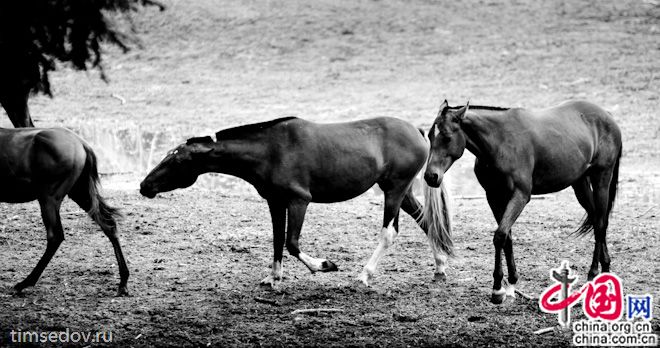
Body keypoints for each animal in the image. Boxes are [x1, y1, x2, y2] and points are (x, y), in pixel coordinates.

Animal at [0, 128, 129, 296]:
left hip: (49, 198)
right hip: (80, 192)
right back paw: (123, 282)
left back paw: (25, 282)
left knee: (55, 236)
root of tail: (82, 144)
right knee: (109, 224)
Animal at [140, 116, 454, 286]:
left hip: (394, 191)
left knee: (389, 233)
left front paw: (324, 265)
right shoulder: (275, 202)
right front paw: (274, 278)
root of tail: (418, 131)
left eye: (177, 160)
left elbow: (292, 243)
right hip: (401, 193)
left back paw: (365, 275)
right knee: (427, 221)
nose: (144, 186)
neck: (270, 150)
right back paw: (440, 267)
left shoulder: (298, 201)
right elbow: (278, 239)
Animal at [426, 99, 620, 304]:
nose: (431, 176)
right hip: (580, 184)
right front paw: (511, 284)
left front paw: (497, 289)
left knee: (600, 223)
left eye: (447, 137)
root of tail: (607, 116)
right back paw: (603, 270)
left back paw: (595, 273)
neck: (499, 143)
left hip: (601, 179)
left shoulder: (520, 196)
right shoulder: (494, 197)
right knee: (597, 220)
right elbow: (507, 237)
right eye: (430, 135)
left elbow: (500, 236)